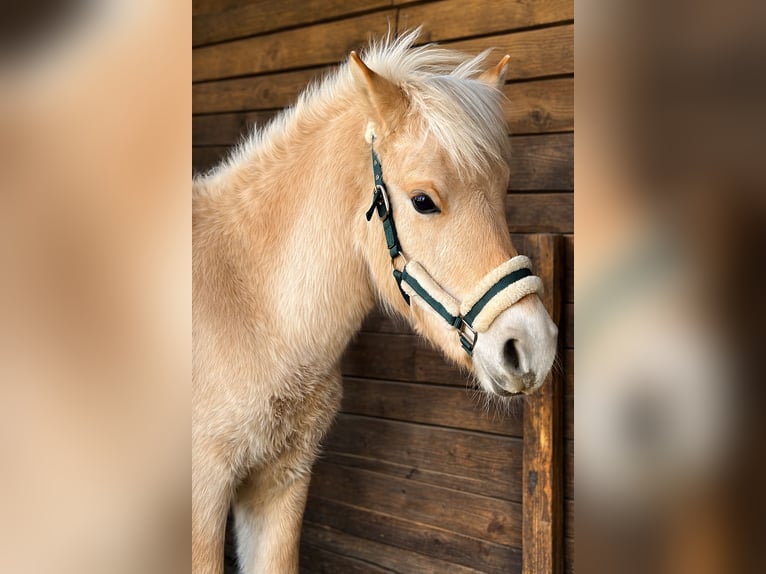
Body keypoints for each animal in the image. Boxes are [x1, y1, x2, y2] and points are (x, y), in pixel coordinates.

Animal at [192, 30, 558, 574]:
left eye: (502, 193)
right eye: (423, 201)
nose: (532, 344)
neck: (249, 305)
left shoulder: (281, 485)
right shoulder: (203, 495)